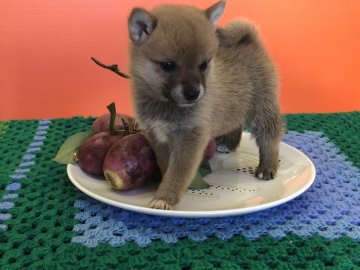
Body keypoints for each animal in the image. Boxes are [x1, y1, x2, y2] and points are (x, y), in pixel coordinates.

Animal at [128, 1, 282, 210]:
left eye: (203, 64)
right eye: (168, 65)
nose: (193, 93)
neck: (165, 104)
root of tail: (251, 41)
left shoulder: (190, 138)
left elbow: (178, 171)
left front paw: (165, 197)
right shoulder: (157, 135)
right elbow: (166, 165)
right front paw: (163, 187)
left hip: (261, 108)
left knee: (269, 137)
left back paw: (267, 167)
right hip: (235, 106)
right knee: (236, 123)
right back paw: (228, 144)